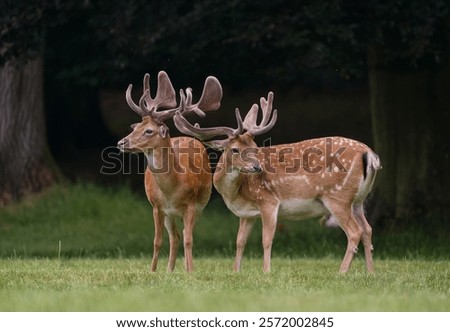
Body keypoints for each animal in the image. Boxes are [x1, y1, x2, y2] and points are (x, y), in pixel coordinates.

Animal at [116, 70, 221, 272]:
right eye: (136, 126)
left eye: (149, 131)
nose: (121, 142)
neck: (172, 189)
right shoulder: (157, 207)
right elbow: (157, 241)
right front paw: (152, 270)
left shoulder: (192, 205)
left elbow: (189, 240)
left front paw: (191, 271)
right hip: (169, 214)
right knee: (175, 237)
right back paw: (169, 270)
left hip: (200, 206)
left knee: (184, 235)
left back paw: (184, 268)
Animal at [174, 90, 382, 272]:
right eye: (235, 149)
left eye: (254, 146)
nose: (257, 167)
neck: (237, 192)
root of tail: (369, 154)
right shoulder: (247, 214)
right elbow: (240, 241)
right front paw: (235, 271)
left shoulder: (268, 201)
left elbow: (266, 240)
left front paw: (266, 271)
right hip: (357, 200)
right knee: (368, 229)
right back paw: (370, 272)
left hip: (337, 197)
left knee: (354, 232)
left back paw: (342, 272)